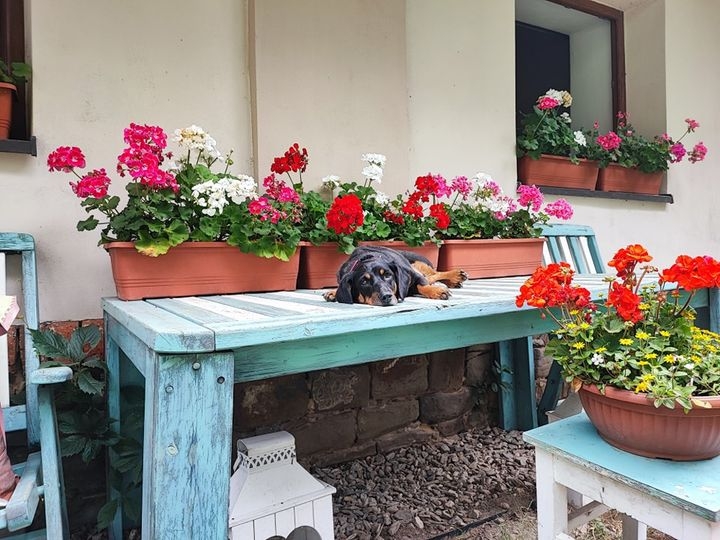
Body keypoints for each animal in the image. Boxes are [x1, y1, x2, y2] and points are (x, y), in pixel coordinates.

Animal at [322, 245, 468, 306]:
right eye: (364, 282)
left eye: (387, 275)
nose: (386, 296)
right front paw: (333, 292)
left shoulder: (412, 274)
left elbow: (422, 285)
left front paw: (436, 291)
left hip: (418, 264)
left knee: (434, 274)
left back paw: (456, 276)